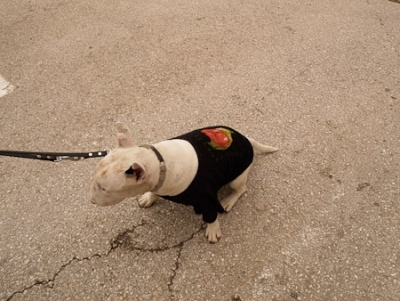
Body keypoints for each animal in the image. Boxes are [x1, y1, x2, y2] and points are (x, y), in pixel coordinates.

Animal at [90, 122, 278, 241]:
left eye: (103, 188)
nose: (91, 201)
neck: (159, 163)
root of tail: (247, 140)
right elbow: (154, 192)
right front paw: (149, 197)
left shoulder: (206, 200)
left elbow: (211, 216)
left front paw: (213, 230)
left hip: (236, 178)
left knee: (241, 189)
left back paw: (229, 200)